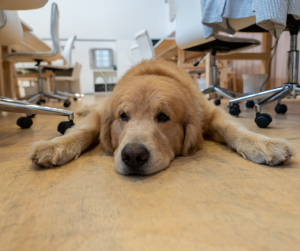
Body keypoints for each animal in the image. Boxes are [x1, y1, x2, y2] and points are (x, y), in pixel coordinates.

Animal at [29, 59, 292, 176]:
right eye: (123, 116)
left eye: (163, 117)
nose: (133, 156)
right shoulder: (101, 115)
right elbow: (83, 130)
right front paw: (54, 146)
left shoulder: (210, 112)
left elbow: (233, 128)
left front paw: (263, 143)